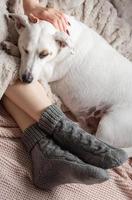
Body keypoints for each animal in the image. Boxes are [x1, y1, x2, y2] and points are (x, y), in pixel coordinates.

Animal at [3, 14, 132, 158]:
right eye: (25, 49)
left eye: (44, 54)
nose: (27, 79)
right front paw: (12, 47)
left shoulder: (48, 72)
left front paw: (12, 48)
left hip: (109, 125)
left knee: (99, 140)